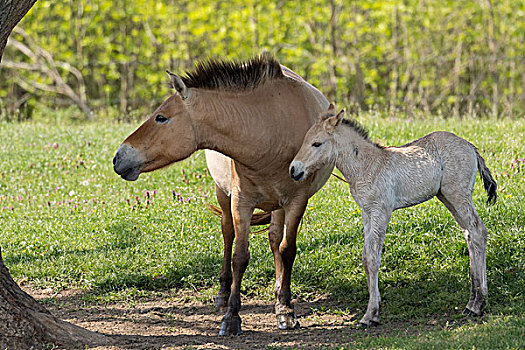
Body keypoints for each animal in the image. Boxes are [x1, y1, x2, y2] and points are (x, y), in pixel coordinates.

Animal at [113, 55, 332, 336]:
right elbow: (240, 256)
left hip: (278, 206)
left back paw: (276, 293)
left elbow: (287, 250)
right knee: (228, 235)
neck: (270, 132)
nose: (118, 157)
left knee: (275, 239)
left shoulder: (296, 202)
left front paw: (285, 308)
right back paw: (223, 294)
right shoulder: (241, 202)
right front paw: (231, 316)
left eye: (161, 117)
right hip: (224, 196)